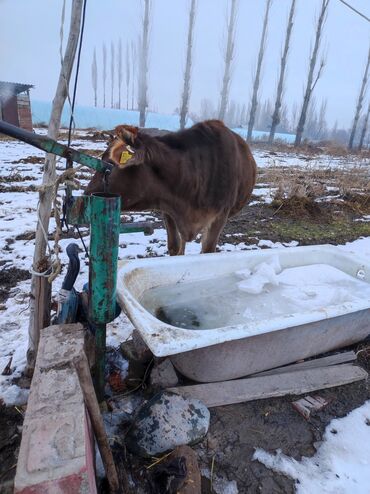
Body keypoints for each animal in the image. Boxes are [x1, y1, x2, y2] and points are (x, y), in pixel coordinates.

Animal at [85, 119, 256, 255]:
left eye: (109, 165)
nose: (86, 194)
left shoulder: (220, 216)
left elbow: (207, 249)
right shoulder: (169, 209)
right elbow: (174, 247)